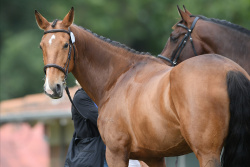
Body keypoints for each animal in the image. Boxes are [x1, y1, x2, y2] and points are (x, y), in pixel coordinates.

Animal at [35, 7, 250, 167]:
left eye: (65, 45)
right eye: (41, 46)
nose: (52, 87)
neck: (118, 78)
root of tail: (230, 70)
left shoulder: (116, 153)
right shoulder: (152, 157)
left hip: (207, 153)